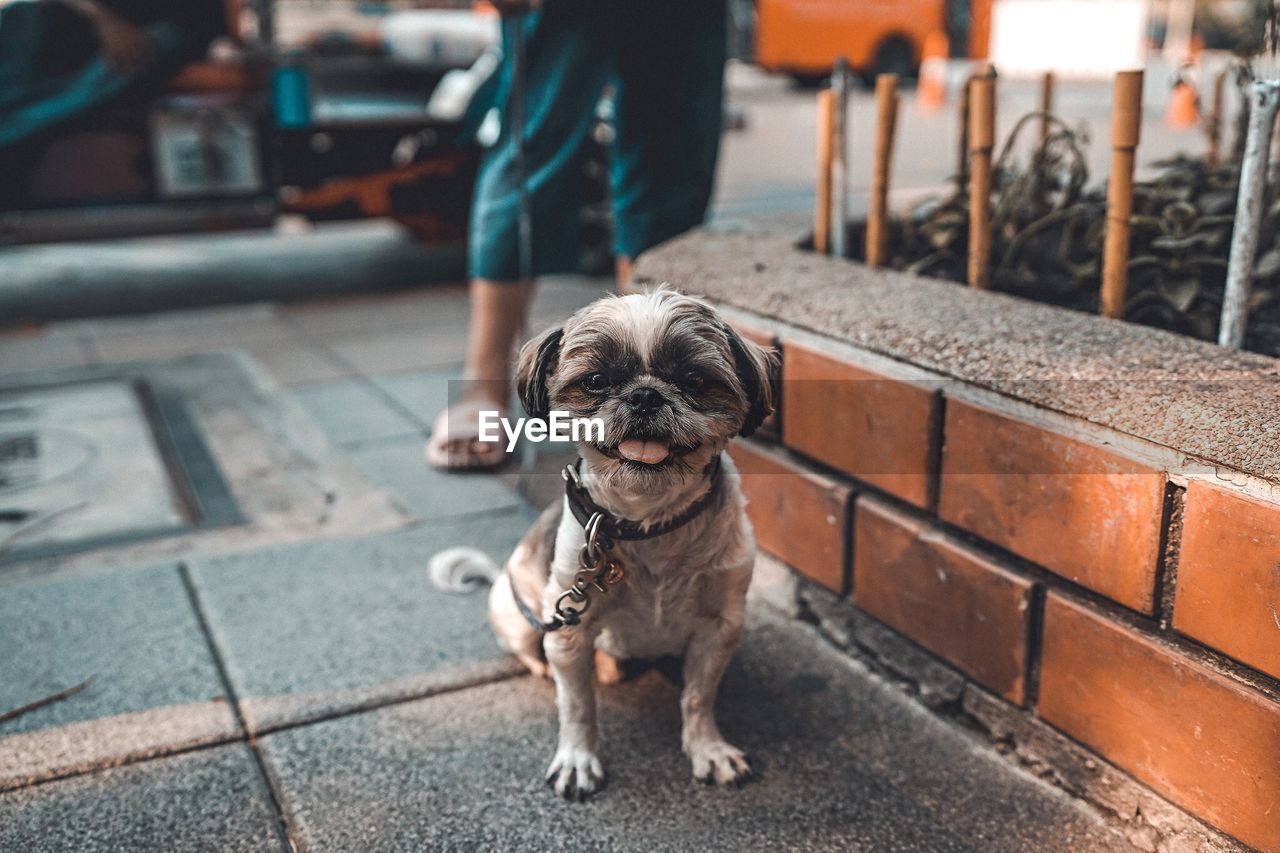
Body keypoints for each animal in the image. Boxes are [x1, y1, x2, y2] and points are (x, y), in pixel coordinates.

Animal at [430, 289, 773, 799]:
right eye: (596, 380)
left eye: (694, 379)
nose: (645, 394)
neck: (649, 523)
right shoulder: (570, 629)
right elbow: (577, 705)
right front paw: (577, 759)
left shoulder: (719, 627)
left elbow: (698, 696)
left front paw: (708, 749)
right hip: (523, 619)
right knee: (532, 649)